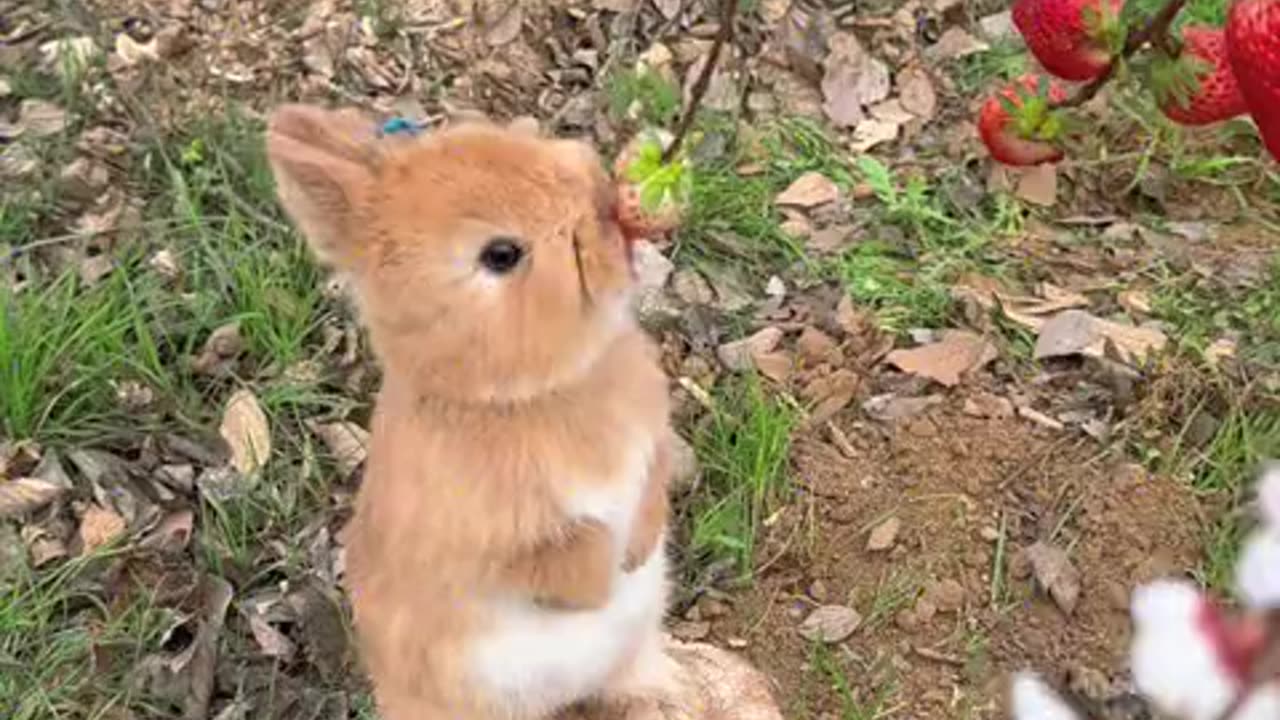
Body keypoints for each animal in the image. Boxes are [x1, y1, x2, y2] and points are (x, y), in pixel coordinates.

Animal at [266, 105, 686, 717]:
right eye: (501, 255)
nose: (603, 200)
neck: (526, 395)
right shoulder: (499, 542)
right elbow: (567, 557)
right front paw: (602, 584)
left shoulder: (651, 444)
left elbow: (652, 491)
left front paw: (634, 553)